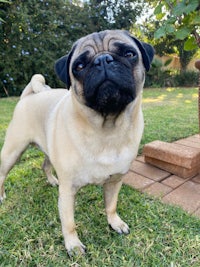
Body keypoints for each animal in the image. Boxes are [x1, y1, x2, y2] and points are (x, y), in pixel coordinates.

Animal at [0, 30, 154, 256]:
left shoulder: (115, 181)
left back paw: (51, 180)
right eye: (79, 66)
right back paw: (1, 195)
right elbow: (69, 222)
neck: (106, 129)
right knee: (2, 174)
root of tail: (28, 96)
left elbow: (111, 206)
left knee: (45, 165)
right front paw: (73, 245)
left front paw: (114, 223)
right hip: (13, 151)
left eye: (129, 54)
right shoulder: (68, 191)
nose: (103, 60)